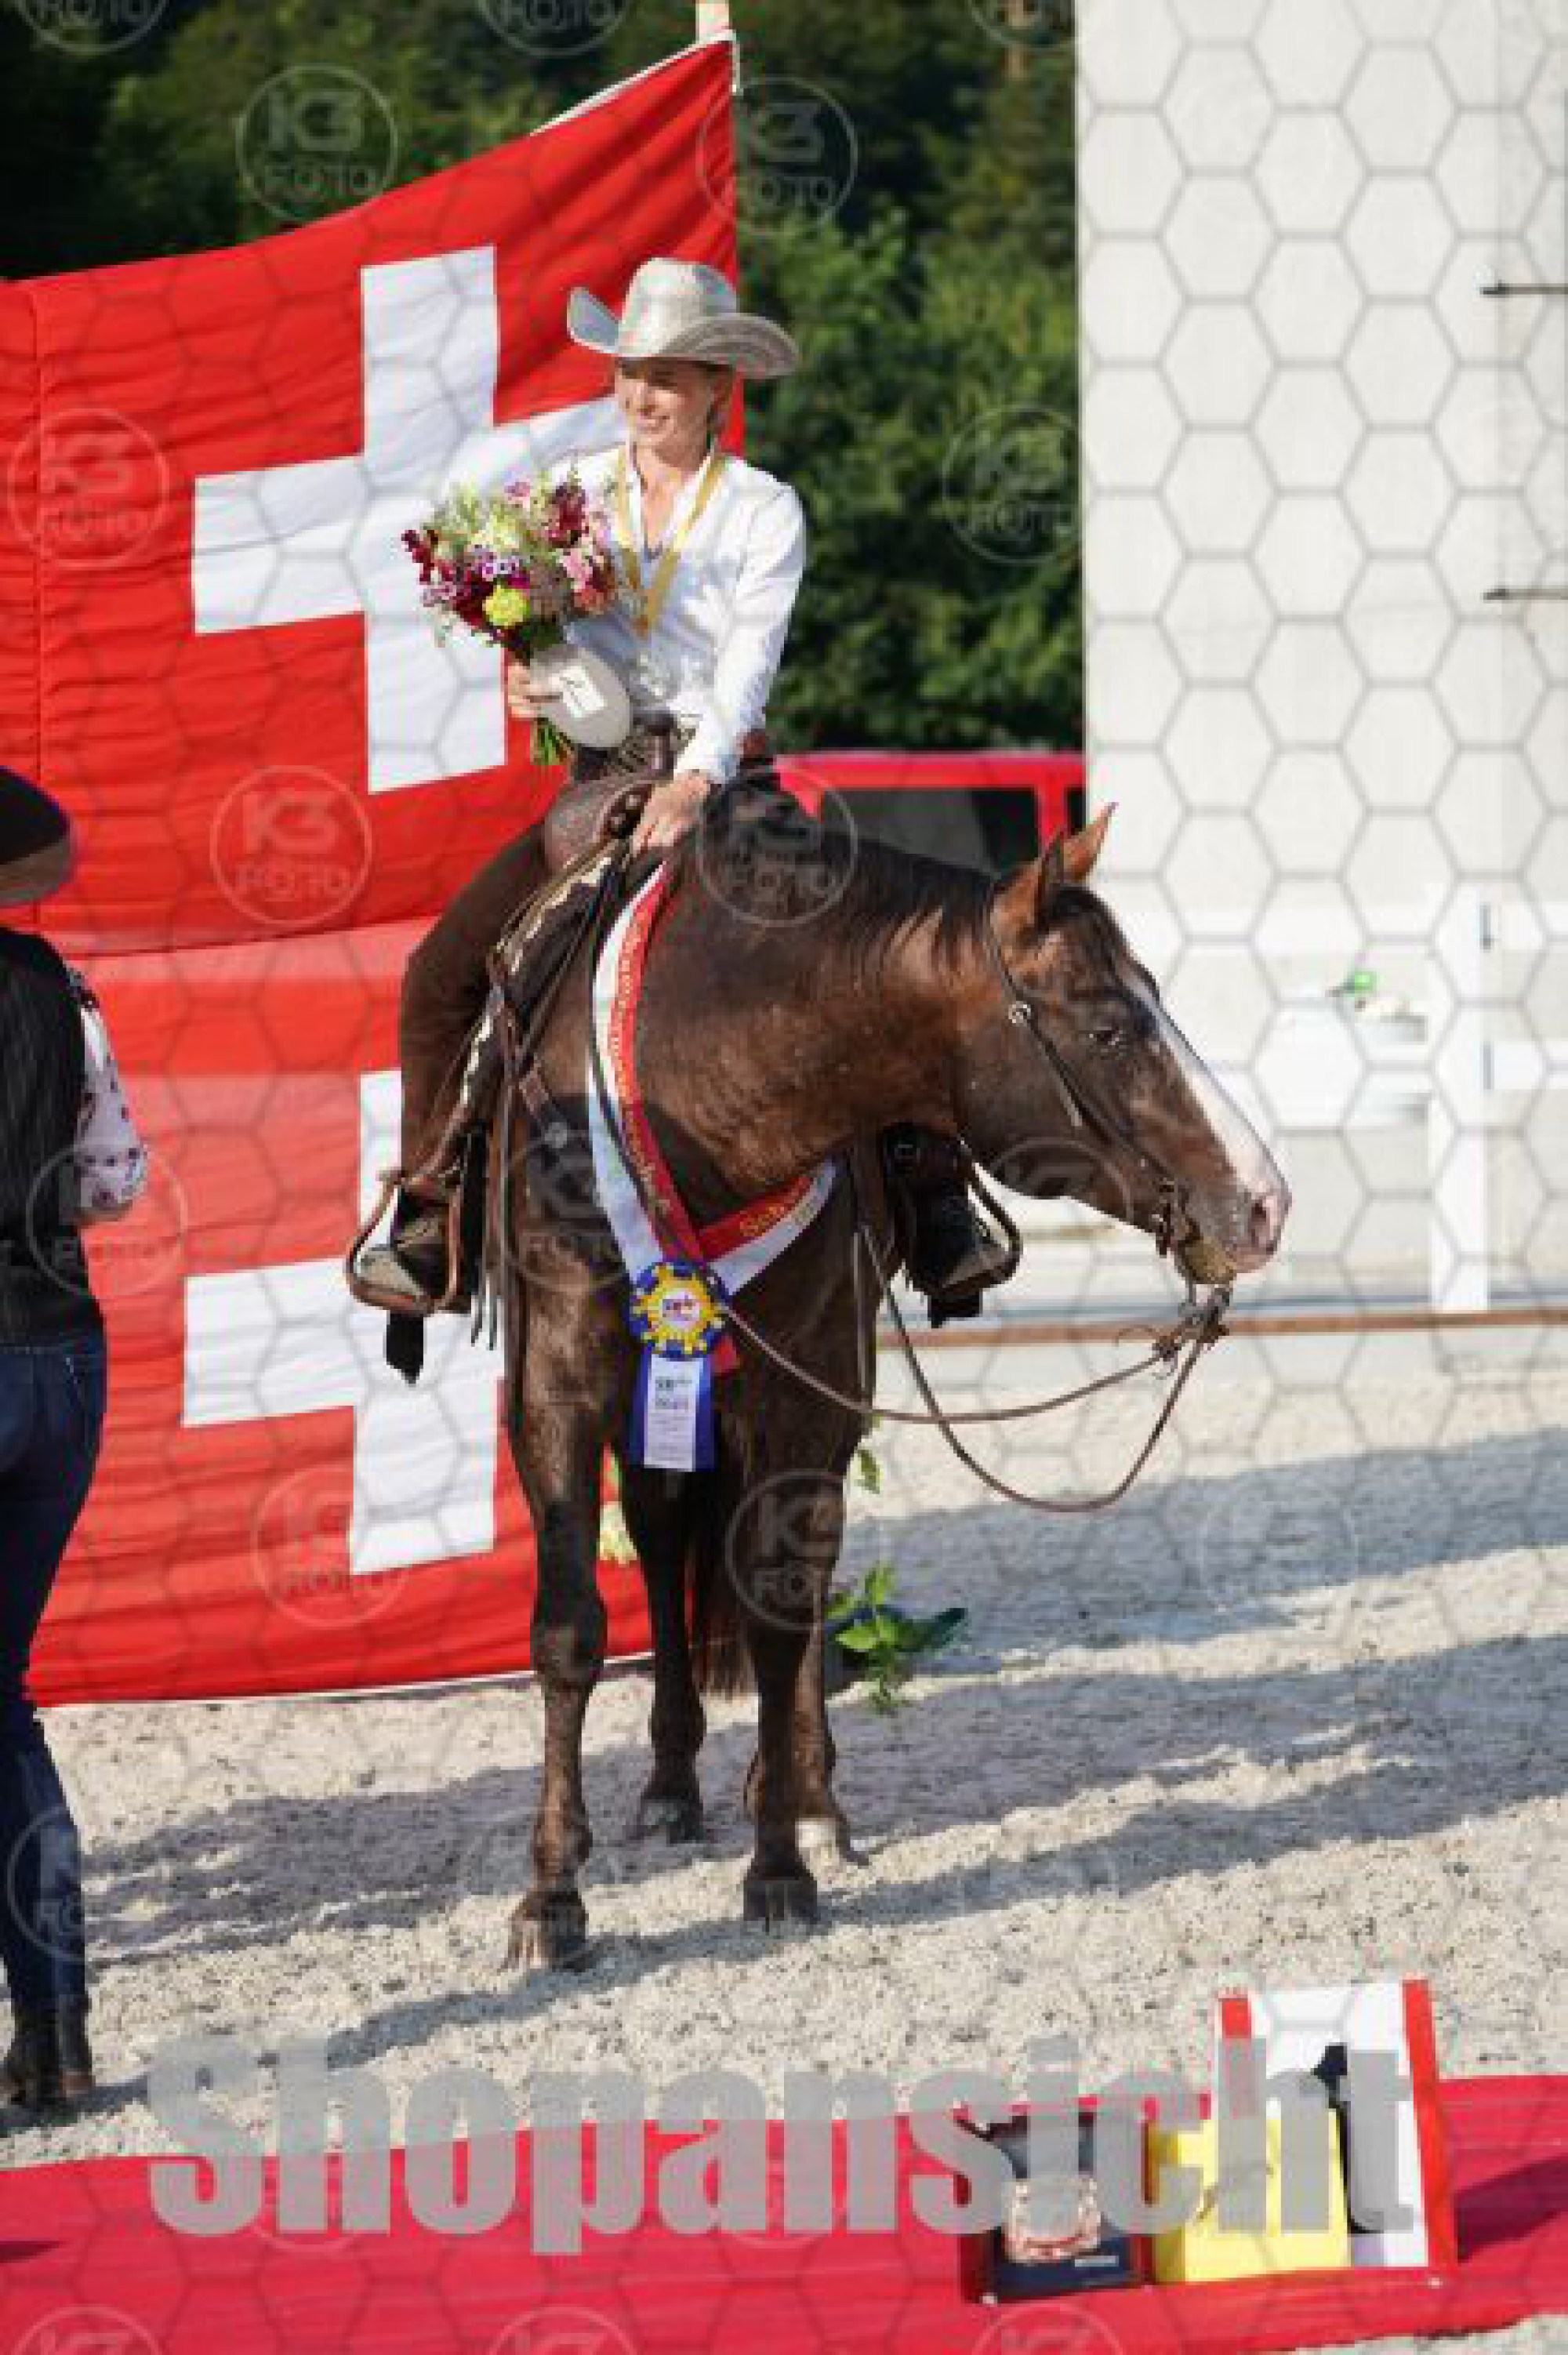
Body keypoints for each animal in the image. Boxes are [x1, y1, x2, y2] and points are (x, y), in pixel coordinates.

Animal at [489, 776, 1289, 1970]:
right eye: (1108, 1026)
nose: (1263, 1202)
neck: (698, 1099)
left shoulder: (805, 1379)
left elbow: (780, 1608)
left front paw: (780, 1862)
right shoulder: (560, 1376)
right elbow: (571, 1625)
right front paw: (551, 1897)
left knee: (803, 1570)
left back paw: (808, 1795)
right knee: (668, 1535)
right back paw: (673, 1784)